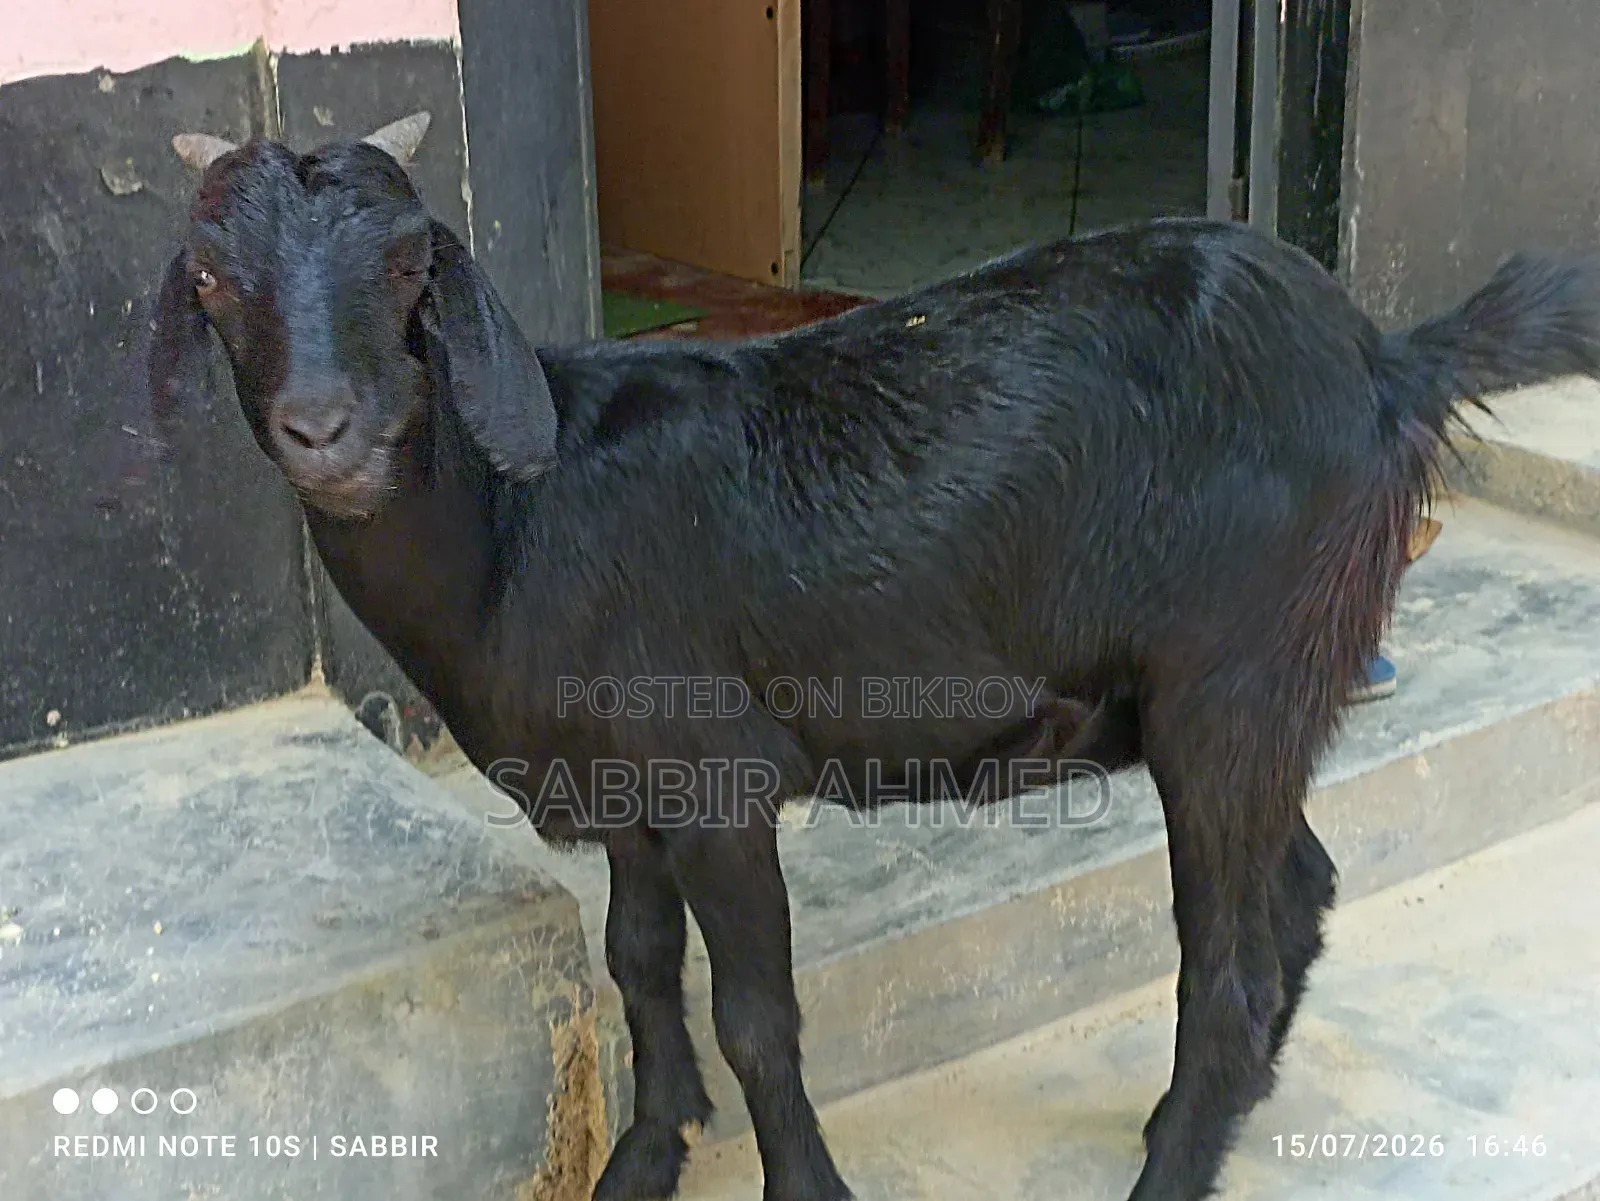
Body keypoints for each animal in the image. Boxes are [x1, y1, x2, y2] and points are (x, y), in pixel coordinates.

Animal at [142, 112, 1600, 1201]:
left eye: (409, 271)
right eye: (210, 280)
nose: (327, 430)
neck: (513, 528)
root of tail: (1384, 362)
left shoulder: (717, 780)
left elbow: (757, 1020)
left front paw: (802, 1182)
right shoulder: (620, 789)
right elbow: (637, 969)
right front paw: (647, 1153)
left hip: (1228, 678)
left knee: (1231, 968)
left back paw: (1174, 1160)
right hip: (1257, 690)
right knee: (1297, 888)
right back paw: (1192, 1120)